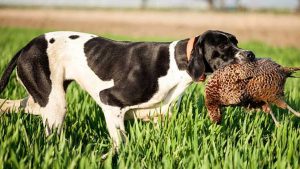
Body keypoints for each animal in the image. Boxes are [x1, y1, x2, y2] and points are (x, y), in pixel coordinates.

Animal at [0, 30, 255, 152]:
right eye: (222, 45)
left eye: (236, 41)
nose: (251, 54)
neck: (176, 63)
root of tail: (27, 46)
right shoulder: (110, 102)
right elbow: (120, 144)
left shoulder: (160, 118)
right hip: (55, 106)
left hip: (43, 101)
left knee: (13, 104)